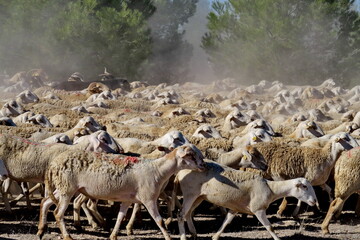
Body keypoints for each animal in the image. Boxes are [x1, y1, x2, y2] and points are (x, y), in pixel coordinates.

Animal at [38, 143, 205, 240]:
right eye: (190, 155)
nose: (203, 165)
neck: (157, 170)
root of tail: (53, 163)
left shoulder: (127, 199)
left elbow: (120, 217)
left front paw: (113, 235)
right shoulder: (148, 199)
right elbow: (160, 221)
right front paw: (168, 237)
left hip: (63, 187)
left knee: (45, 202)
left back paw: (41, 231)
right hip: (67, 189)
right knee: (58, 213)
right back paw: (67, 236)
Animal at [174, 161, 318, 240]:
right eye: (305, 187)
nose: (314, 201)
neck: (271, 189)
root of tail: (180, 173)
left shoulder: (235, 208)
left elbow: (226, 222)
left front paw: (215, 236)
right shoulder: (258, 209)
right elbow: (270, 227)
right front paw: (277, 238)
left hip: (198, 197)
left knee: (187, 214)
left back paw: (193, 233)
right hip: (190, 194)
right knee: (180, 215)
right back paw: (183, 237)